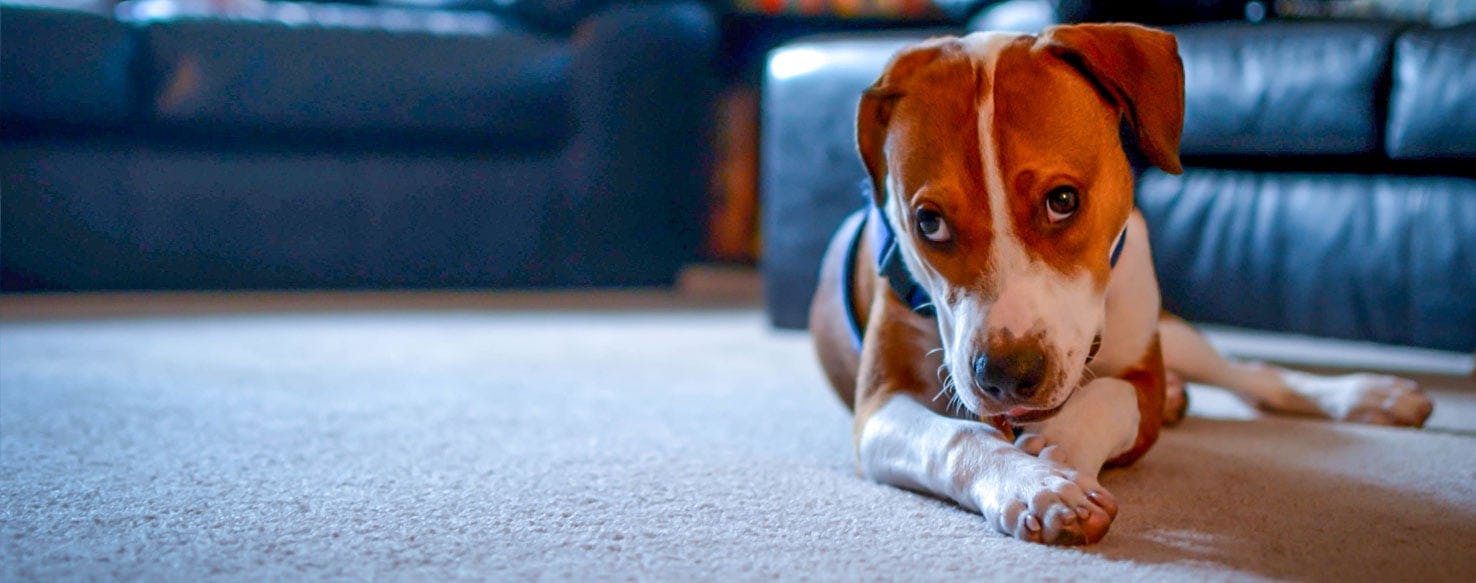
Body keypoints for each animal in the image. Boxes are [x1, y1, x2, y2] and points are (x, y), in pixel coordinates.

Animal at [808, 25, 1428, 549]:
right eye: (929, 223)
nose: (1006, 374)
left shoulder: (1141, 376)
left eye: (1063, 200)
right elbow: (956, 438)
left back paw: (1371, 395)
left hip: (1173, 333)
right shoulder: (879, 406)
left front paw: (1059, 451)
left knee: (1255, 376)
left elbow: (1113, 395)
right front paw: (1031, 484)